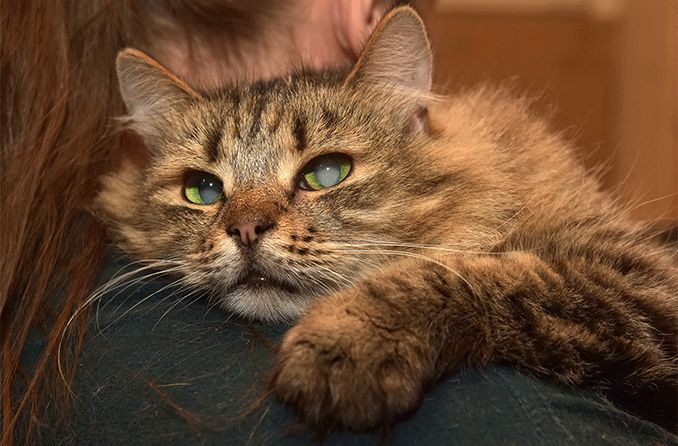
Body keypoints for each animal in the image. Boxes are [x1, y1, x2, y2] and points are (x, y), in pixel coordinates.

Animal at [99, 4, 678, 436]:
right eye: (203, 189)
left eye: (326, 173)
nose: (244, 230)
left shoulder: (642, 280)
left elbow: (462, 276)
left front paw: (346, 341)